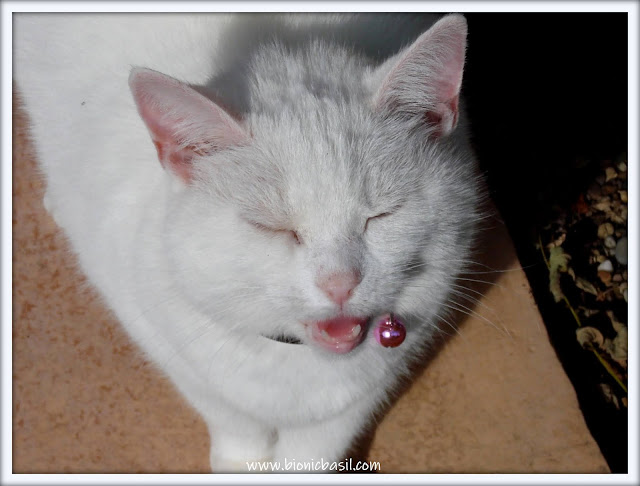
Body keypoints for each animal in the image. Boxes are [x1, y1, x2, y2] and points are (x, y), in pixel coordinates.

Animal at [13, 13, 480, 472]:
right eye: (273, 227)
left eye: (381, 215)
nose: (339, 283)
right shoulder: (163, 340)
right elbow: (231, 417)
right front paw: (240, 459)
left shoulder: (381, 370)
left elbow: (316, 447)